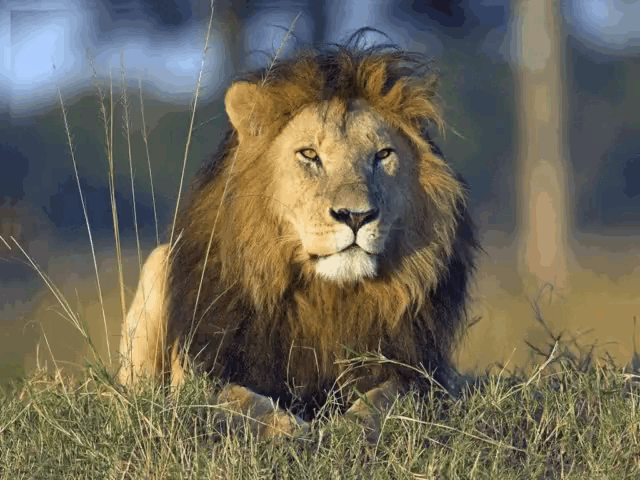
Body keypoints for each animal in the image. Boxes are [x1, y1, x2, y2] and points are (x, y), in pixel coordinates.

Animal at [118, 32, 479, 441]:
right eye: (309, 154)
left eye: (383, 155)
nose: (356, 216)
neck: (327, 296)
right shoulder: (206, 369)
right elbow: (240, 401)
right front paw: (290, 431)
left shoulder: (418, 373)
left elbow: (386, 397)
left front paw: (349, 429)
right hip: (157, 265)